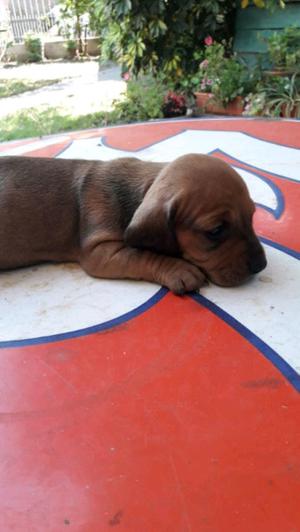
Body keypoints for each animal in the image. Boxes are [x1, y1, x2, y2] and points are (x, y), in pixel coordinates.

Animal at [0, 154, 266, 296]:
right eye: (216, 231)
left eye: (252, 216)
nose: (261, 265)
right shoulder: (99, 252)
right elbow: (140, 255)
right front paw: (179, 269)